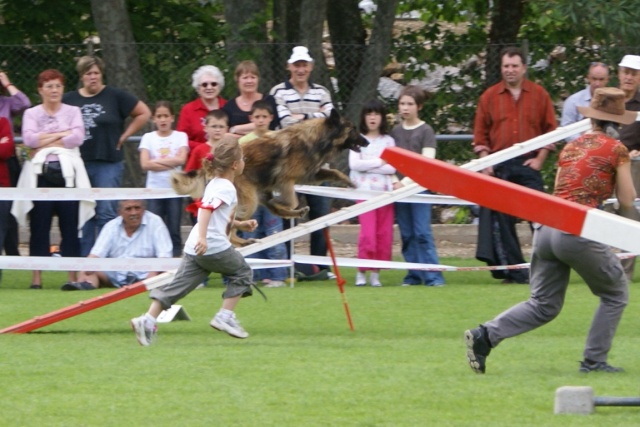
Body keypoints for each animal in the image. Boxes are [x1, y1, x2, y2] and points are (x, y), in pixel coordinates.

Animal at [171, 108, 370, 227]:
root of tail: (213, 164)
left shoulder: (310, 174)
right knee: (233, 224)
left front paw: (350, 182)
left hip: (259, 191)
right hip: (250, 199)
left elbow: (334, 172)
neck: (317, 139)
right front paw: (284, 203)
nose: (367, 141)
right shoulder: (286, 181)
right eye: (352, 129)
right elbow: (291, 200)